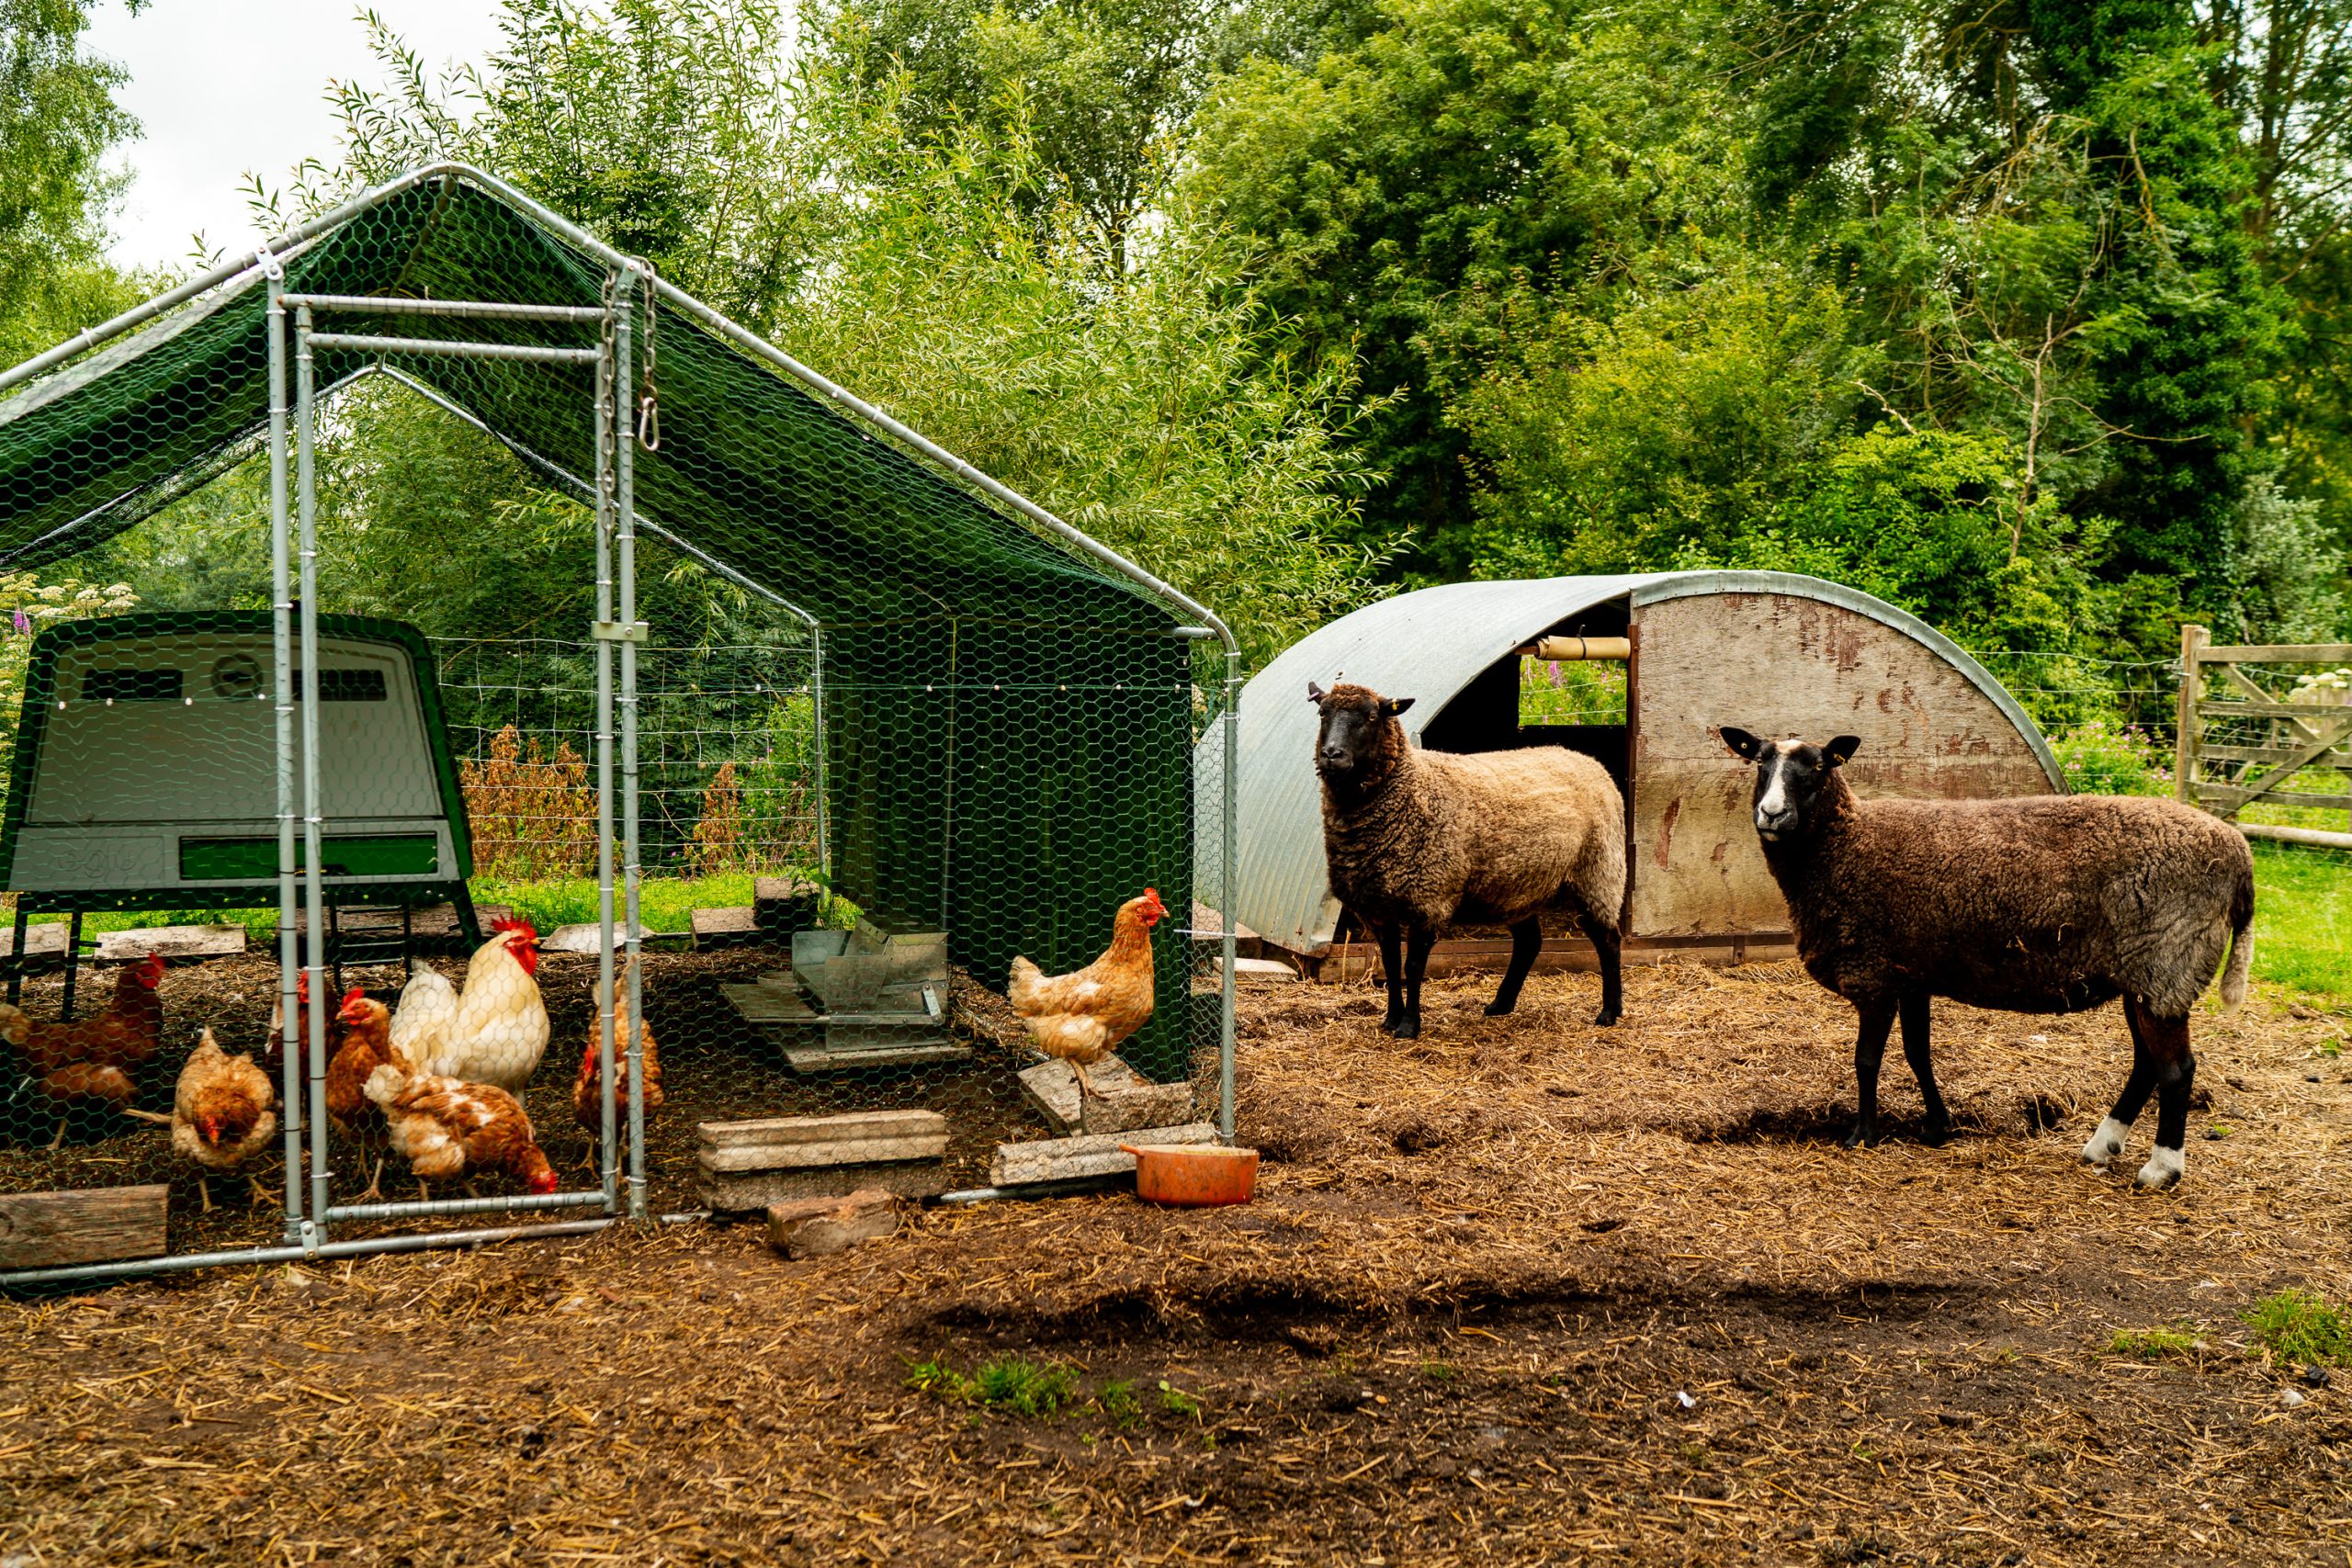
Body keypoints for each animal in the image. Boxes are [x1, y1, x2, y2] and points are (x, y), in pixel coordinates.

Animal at [1310, 680, 1627, 1037]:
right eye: (1323, 714)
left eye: (1372, 716)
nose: (1331, 755)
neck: (1408, 788)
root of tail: (1586, 760)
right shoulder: (1379, 908)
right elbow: (1390, 964)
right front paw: (1391, 1019)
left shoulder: (1428, 898)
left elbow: (1413, 966)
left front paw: (1409, 1026)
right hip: (1518, 886)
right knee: (1529, 942)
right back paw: (1501, 1005)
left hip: (1598, 871)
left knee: (1608, 940)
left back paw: (1609, 1011)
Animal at [1718, 727, 2255, 1189]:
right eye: (1759, 761)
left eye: (1817, 765)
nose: (1771, 814)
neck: (1844, 844)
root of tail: (2240, 856)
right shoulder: (1911, 974)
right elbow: (1918, 1053)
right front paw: (1937, 1126)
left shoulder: (1874, 975)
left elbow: (1866, 1060)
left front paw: (1862, 1135)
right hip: (2141, 975)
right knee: (2147, 1064)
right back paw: (2102, 1146)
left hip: (2168, 963)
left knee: (2176, 1070)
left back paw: (2161, 1169)